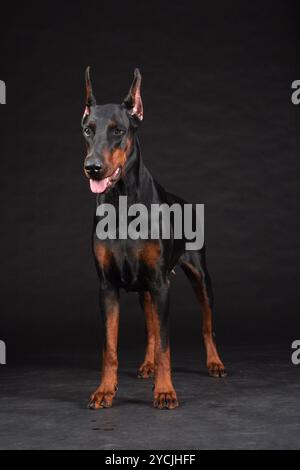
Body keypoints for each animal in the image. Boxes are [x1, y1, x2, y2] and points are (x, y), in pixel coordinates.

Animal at [81, 68, 226, 410]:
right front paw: (105, 390)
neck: (122, 202)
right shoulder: (107, 286)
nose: (92, 168)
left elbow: (165, 345)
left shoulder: (161, 284)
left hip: (199, 277)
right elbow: (110, 347)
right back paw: (146, 364)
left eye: (118, 131)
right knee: (150, 329)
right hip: (145, 287)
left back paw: (214, 363)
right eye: (87, 130)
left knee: (206, 325)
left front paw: (165, 391)